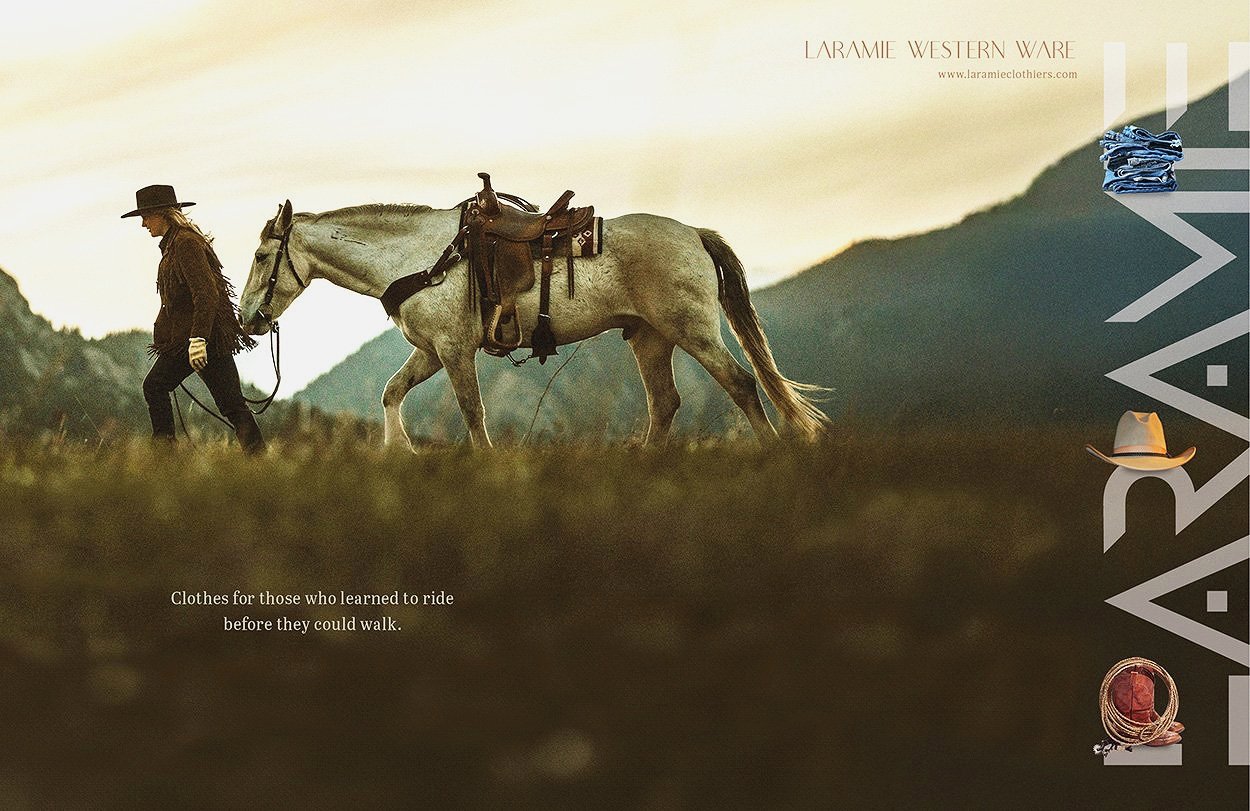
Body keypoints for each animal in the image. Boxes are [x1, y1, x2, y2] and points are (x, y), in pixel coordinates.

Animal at [237, 198, 829, 448]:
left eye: (263, 257)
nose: (249, 319)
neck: (422, 257)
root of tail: (693, 233)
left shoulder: (454, 350)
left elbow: (472, 413)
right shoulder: (429, 352)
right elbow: (391, 393)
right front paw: (398, 452)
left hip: (693, 331)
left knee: (741, 383)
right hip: (650, 339)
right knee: (665, 405)